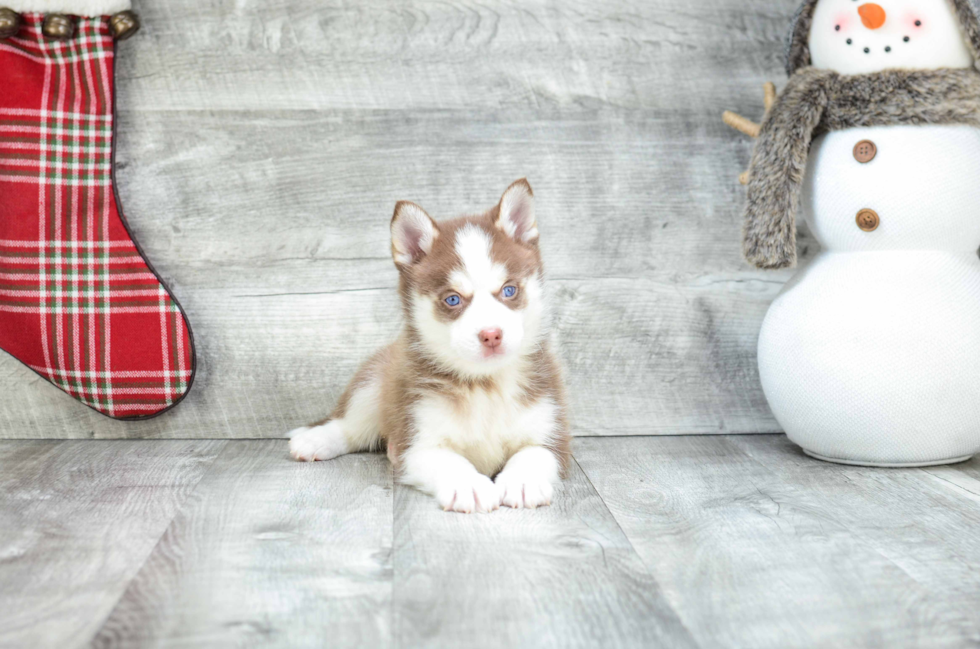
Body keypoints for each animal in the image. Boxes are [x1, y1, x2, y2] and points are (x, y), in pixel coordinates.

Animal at [288, 177, 572, 512]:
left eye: (509, 290)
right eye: (453, 299)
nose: (491, 334)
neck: (484, 385)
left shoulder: (553, 433)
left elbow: (534, 452)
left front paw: (522, 480)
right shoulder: (415, 440)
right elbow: (447, 461)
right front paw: (468, 485)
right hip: (375, 382)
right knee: (351, 425)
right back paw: (315, 439)